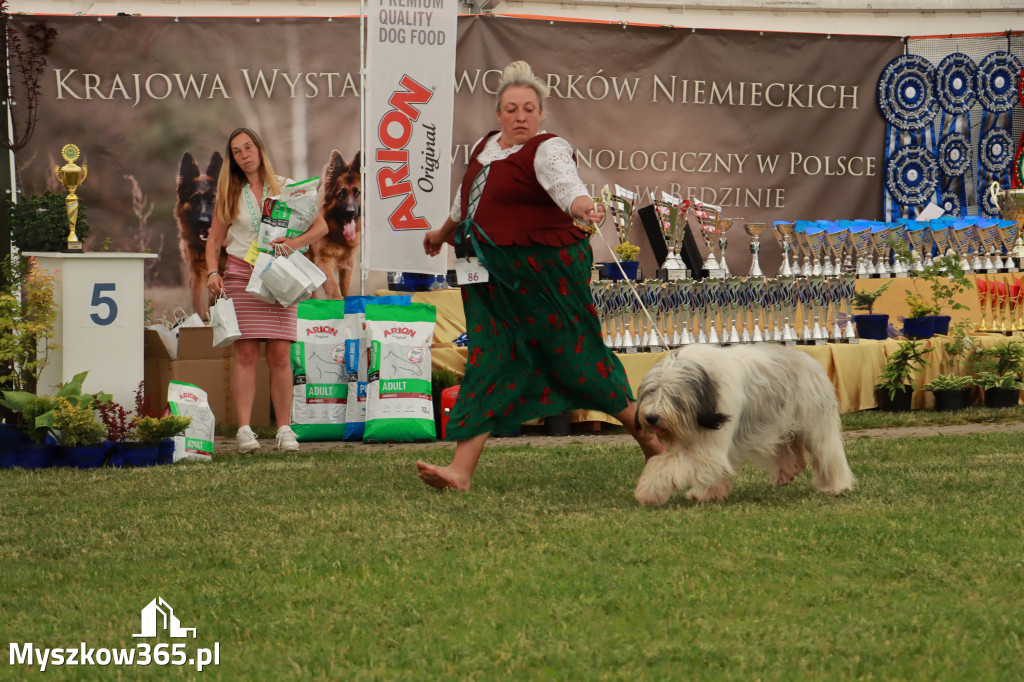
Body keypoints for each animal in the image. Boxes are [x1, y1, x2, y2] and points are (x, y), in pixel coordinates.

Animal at [309, 150, 362, 299]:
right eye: (341, 194)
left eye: (357, 193)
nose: (350, 212)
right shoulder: (323, 260)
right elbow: (333, 288)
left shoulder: (348, 262)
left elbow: (344, 288)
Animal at [630, 342, 856, 501]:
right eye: (651, 391)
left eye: (674, 395)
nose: (651, 417)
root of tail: (809, 360)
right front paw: (707, 494)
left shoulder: (710, 448)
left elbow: (666, 464)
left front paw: (646, 491)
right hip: (776, 422)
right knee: (789, 446)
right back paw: (788, 471)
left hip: (814, 424)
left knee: (829, 453)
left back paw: (838, 486)